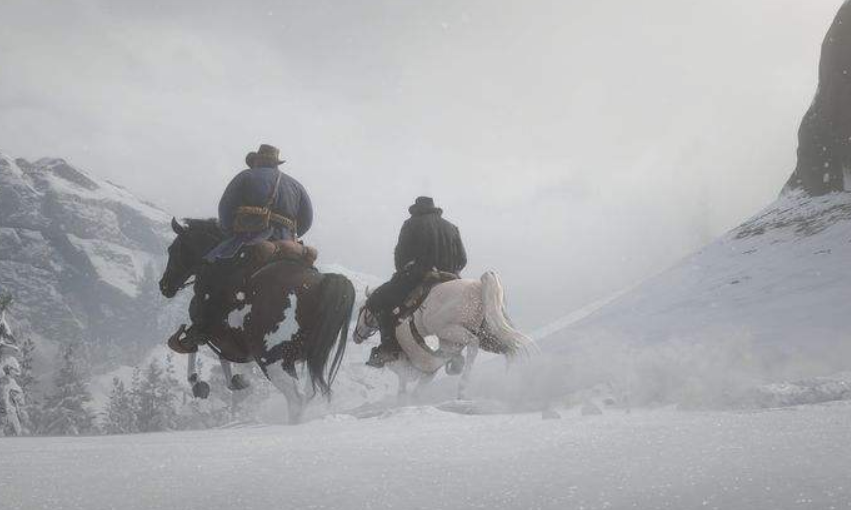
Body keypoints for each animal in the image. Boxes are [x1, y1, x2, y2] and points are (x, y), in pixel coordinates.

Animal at [161, 218, 356, 422]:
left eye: (172, 250)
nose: (164, 285)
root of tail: (322, 283)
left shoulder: (204, 327)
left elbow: (191, 344)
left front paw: (197, 383)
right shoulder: (226, 339)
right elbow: (220, 355)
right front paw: (236, 381)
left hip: (272, 361)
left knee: (296, 400)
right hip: (308, 361)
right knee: (308, 395)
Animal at [352, 272, 532, 400]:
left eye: (361, 309)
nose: (356, 336)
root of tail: (479, 285)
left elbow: (404, 385)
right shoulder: (437, 358)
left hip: (449, 329)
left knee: (474, 344)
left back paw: (462, 388)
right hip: (469, 334)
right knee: (500, 348)